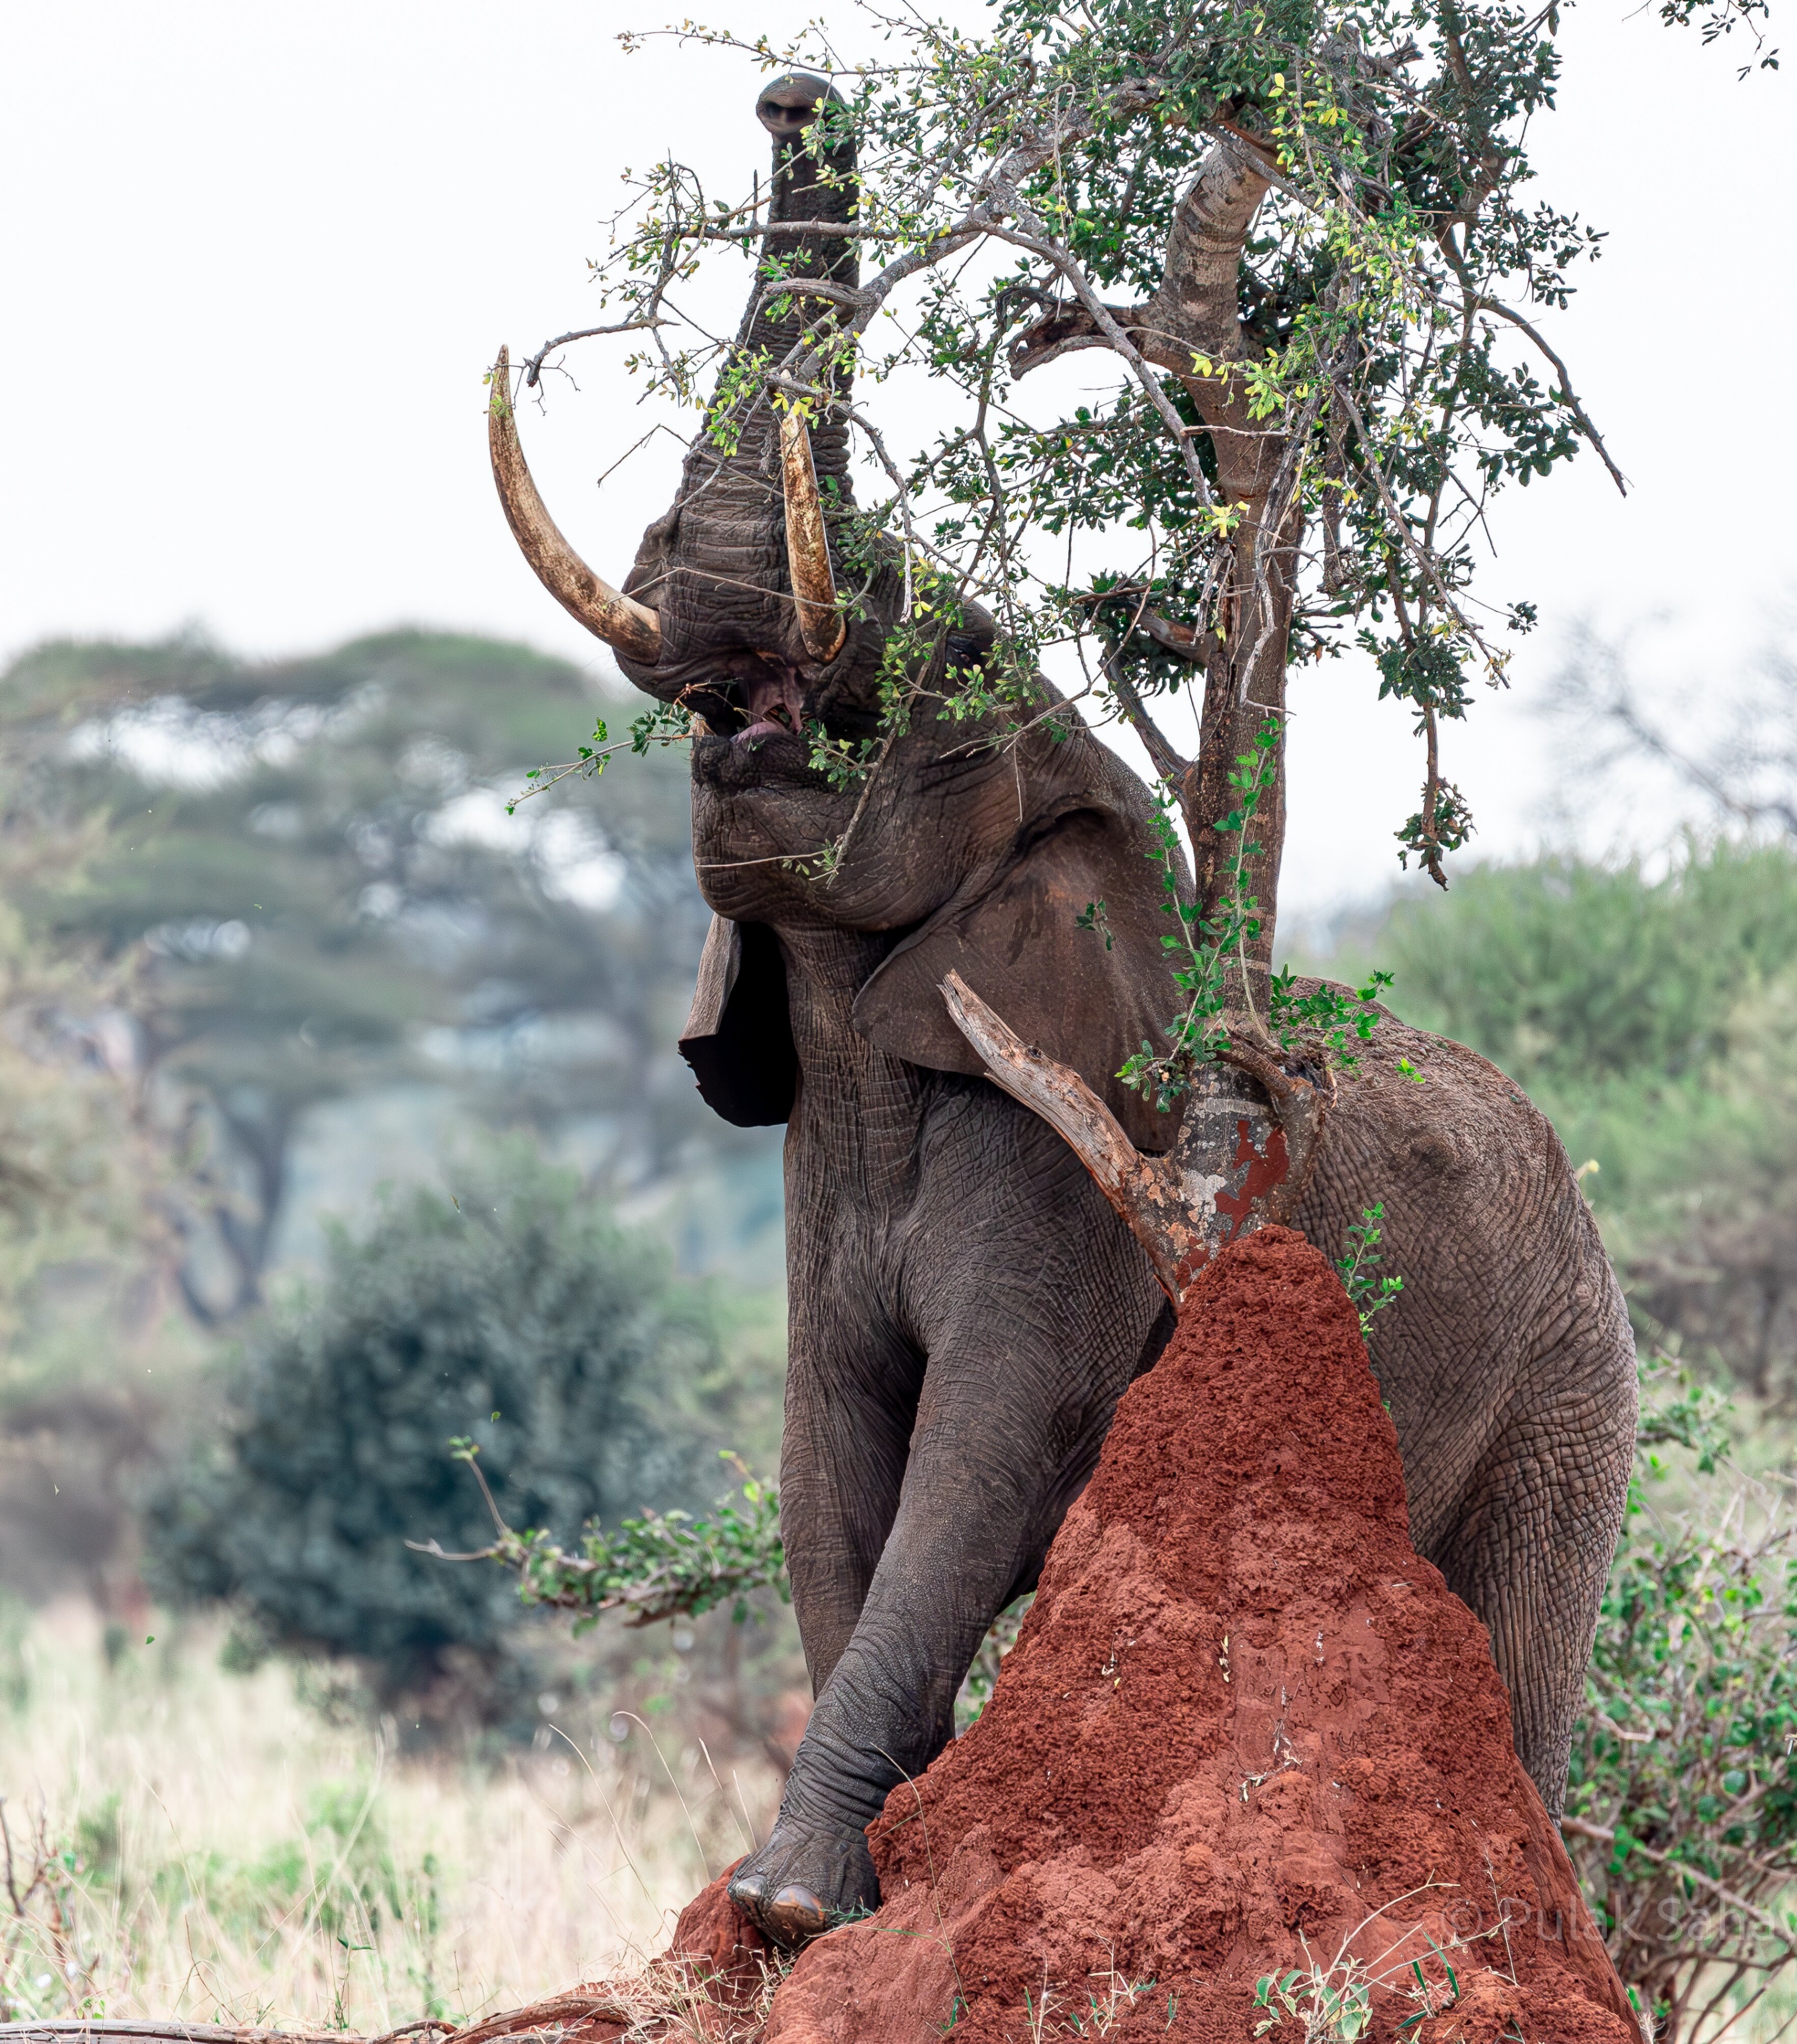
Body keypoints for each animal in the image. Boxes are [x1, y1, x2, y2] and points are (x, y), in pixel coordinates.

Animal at [486, 73, 1638, 1949]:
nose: (796, 95)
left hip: (1570, 1370)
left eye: (938, 667)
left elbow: (985, 1449)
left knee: (1521, 1658)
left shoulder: (1086, 1142)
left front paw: (789, 1907)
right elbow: (832, 1464)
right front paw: (837, 1906)